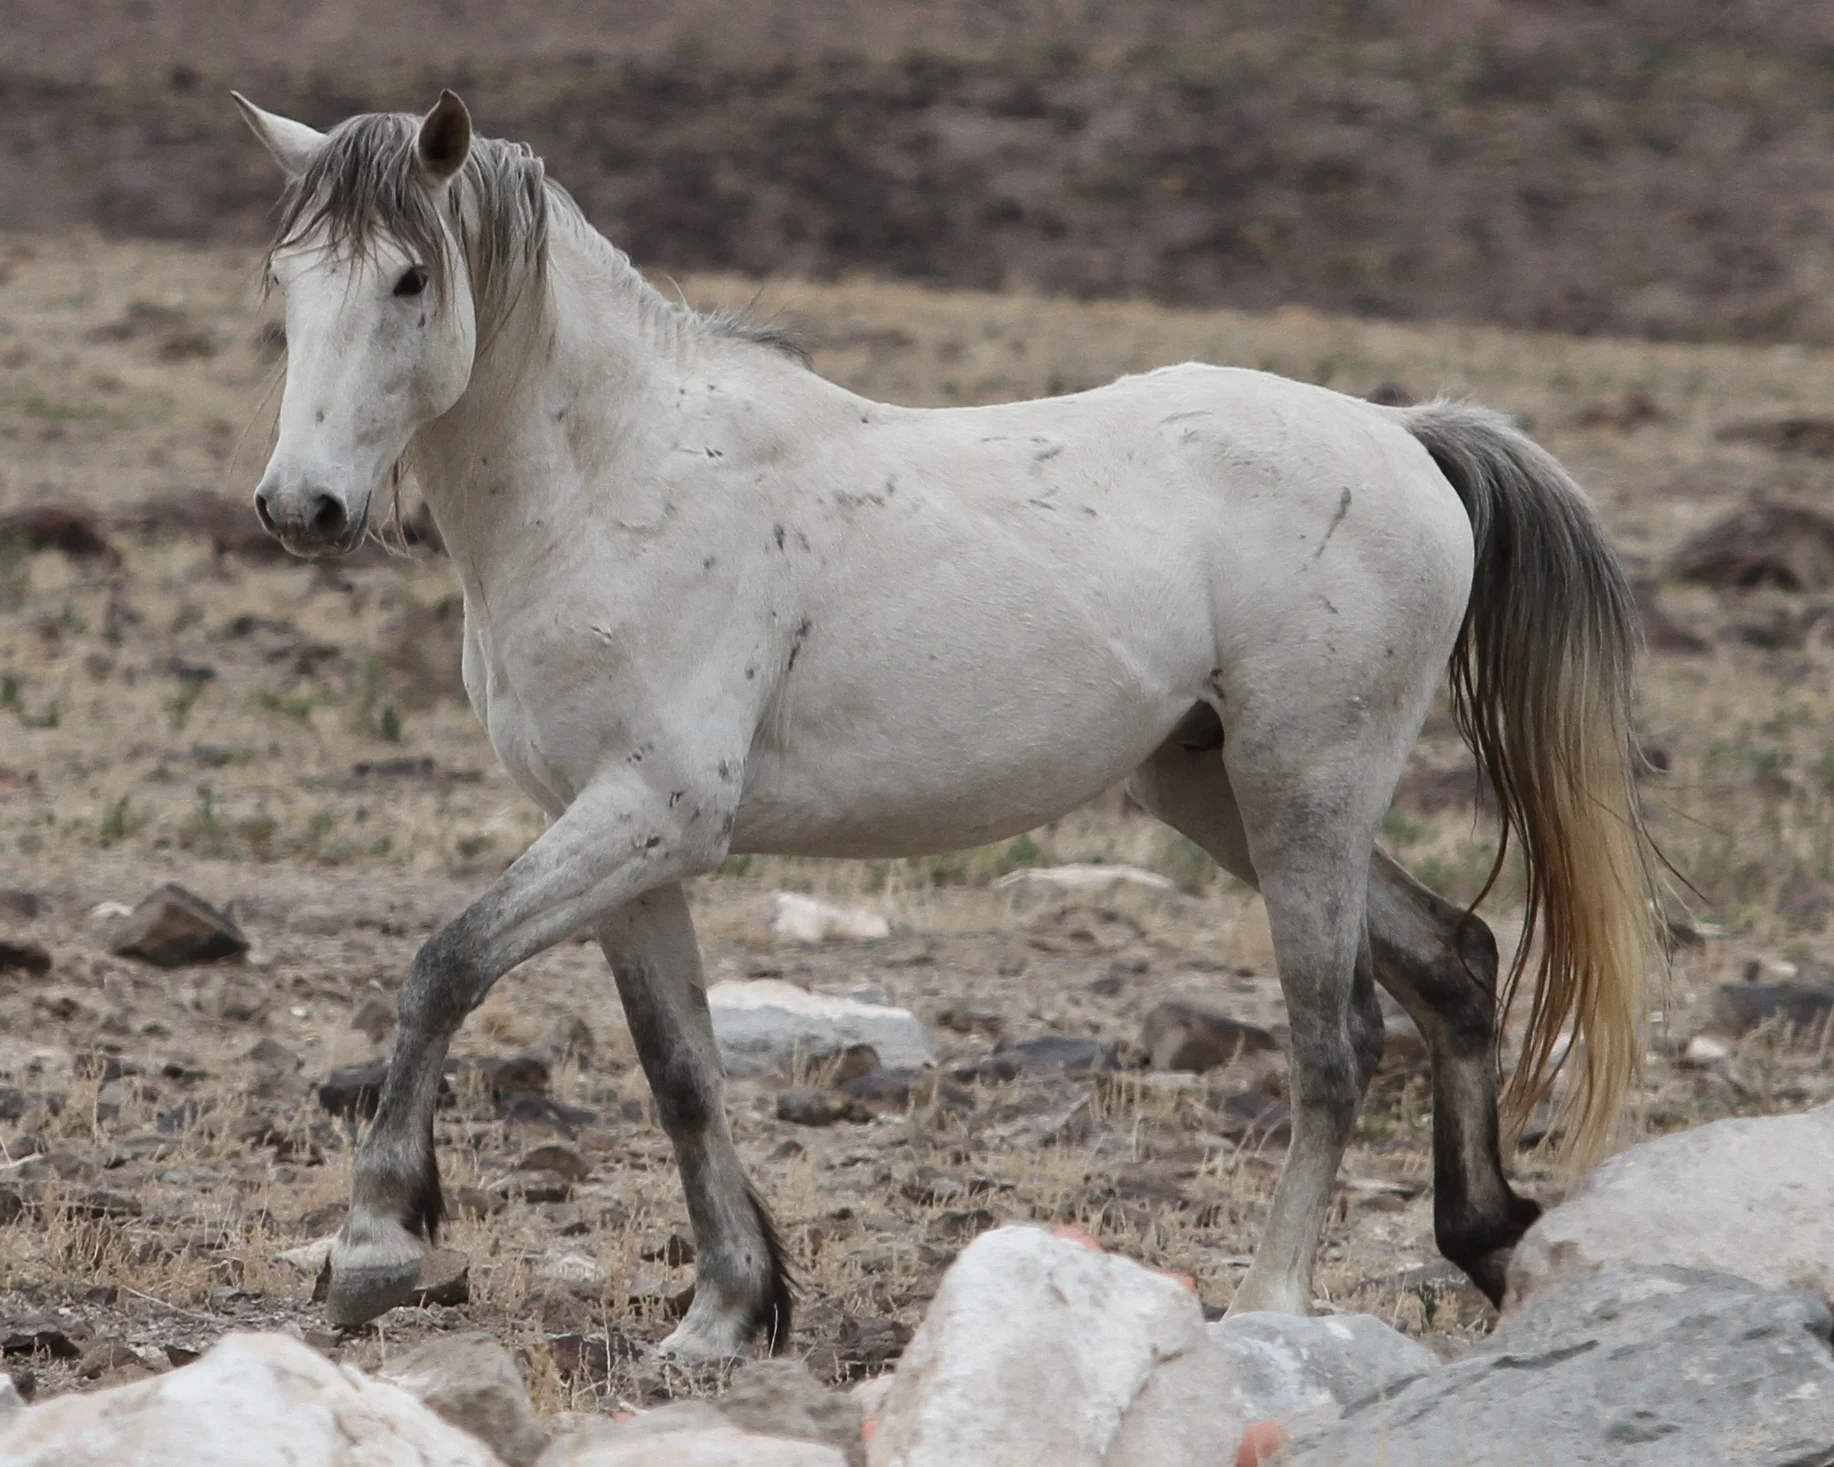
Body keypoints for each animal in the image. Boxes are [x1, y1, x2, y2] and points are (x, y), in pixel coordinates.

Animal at [234, 89, 1658, 1361]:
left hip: (1303, 783)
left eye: (410, 279)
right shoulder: (620, 845)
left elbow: (444, 967)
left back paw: (1269, 1304)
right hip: (1215, 788)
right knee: (1455, 962)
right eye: (286, 282)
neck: (611, 483)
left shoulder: (654, 814)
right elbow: (680, 1072)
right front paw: (723, 1317)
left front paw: (374, 1249)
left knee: (1335, 1039)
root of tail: (1405, 435)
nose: (300, 508)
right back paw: (1486, 1238)